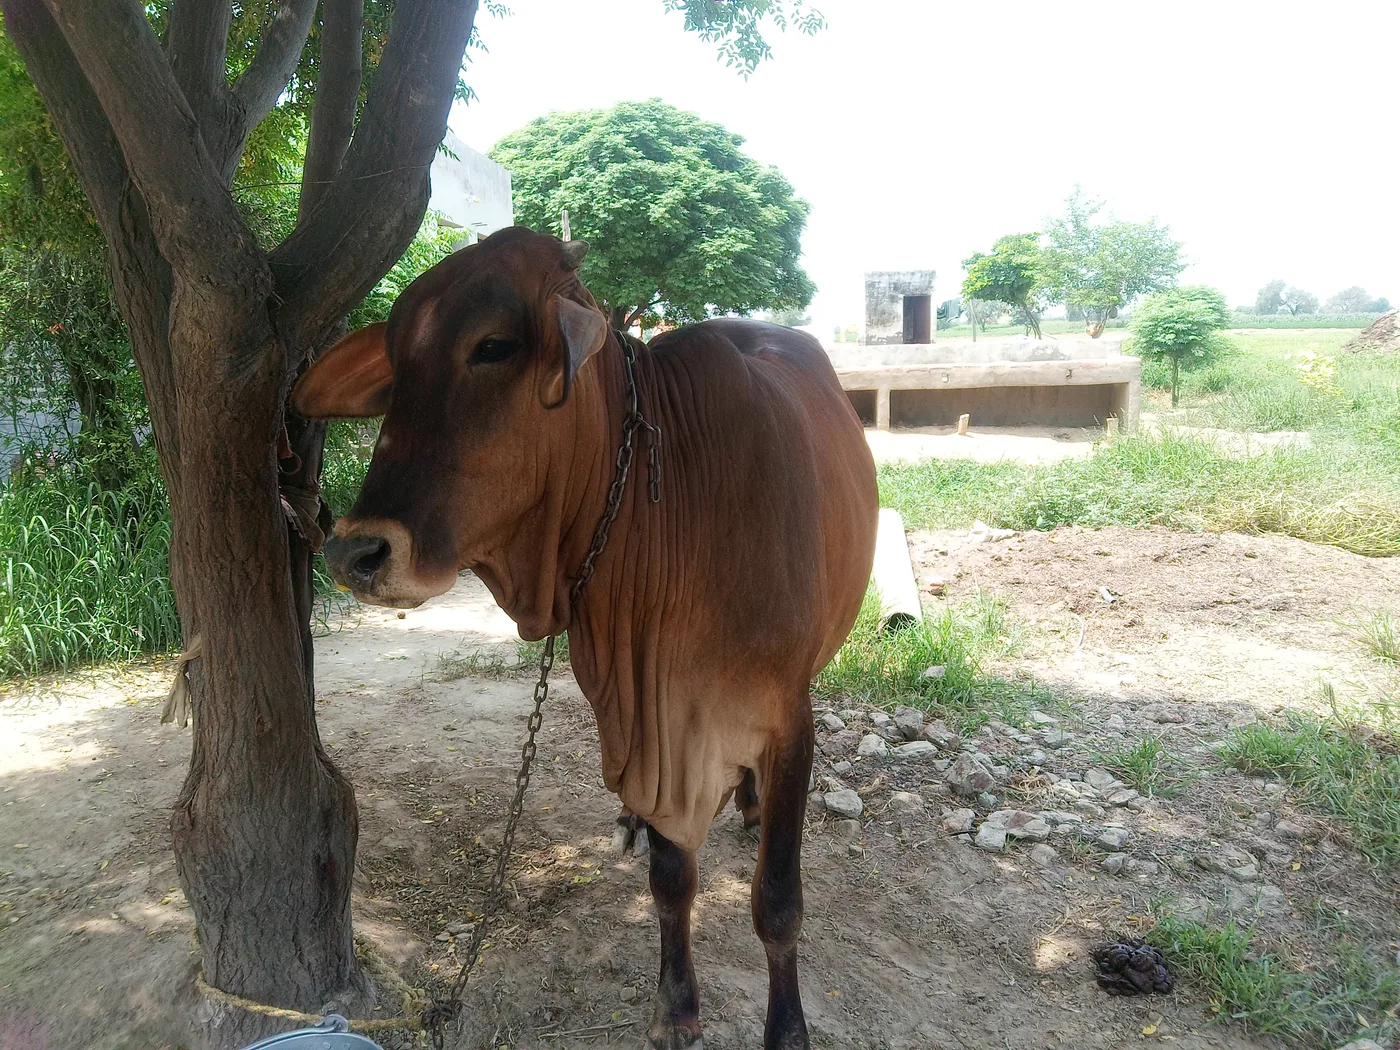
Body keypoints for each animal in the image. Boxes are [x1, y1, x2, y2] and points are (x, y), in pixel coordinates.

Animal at [292, 226, 878, 1050]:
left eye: (495, 346)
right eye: (397, 365)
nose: (353, 553)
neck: (668, 502)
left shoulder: (791, 720)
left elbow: (778, 901)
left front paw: (788, 1031)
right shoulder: (648, 723)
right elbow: (672, 880)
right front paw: (676, 1010)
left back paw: (750, 804)